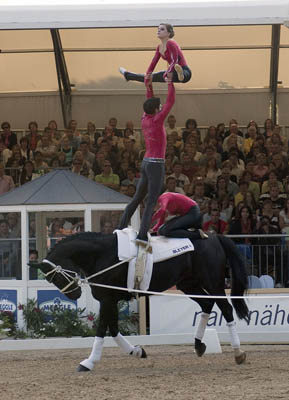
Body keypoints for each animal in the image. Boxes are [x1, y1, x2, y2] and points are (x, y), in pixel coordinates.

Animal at [31, 231, 248, 372]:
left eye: (55, 277)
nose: (74, 295)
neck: (101, 255)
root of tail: (213, 236)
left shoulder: (107, 299)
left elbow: (102, 330)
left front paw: (89, 362)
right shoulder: (110, 300)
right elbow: (113, 329)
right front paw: (137, 351)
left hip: (213, 283)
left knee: (226, 308)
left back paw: (238, 353)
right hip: (188, 283)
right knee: (207, 305)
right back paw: (198, 345)